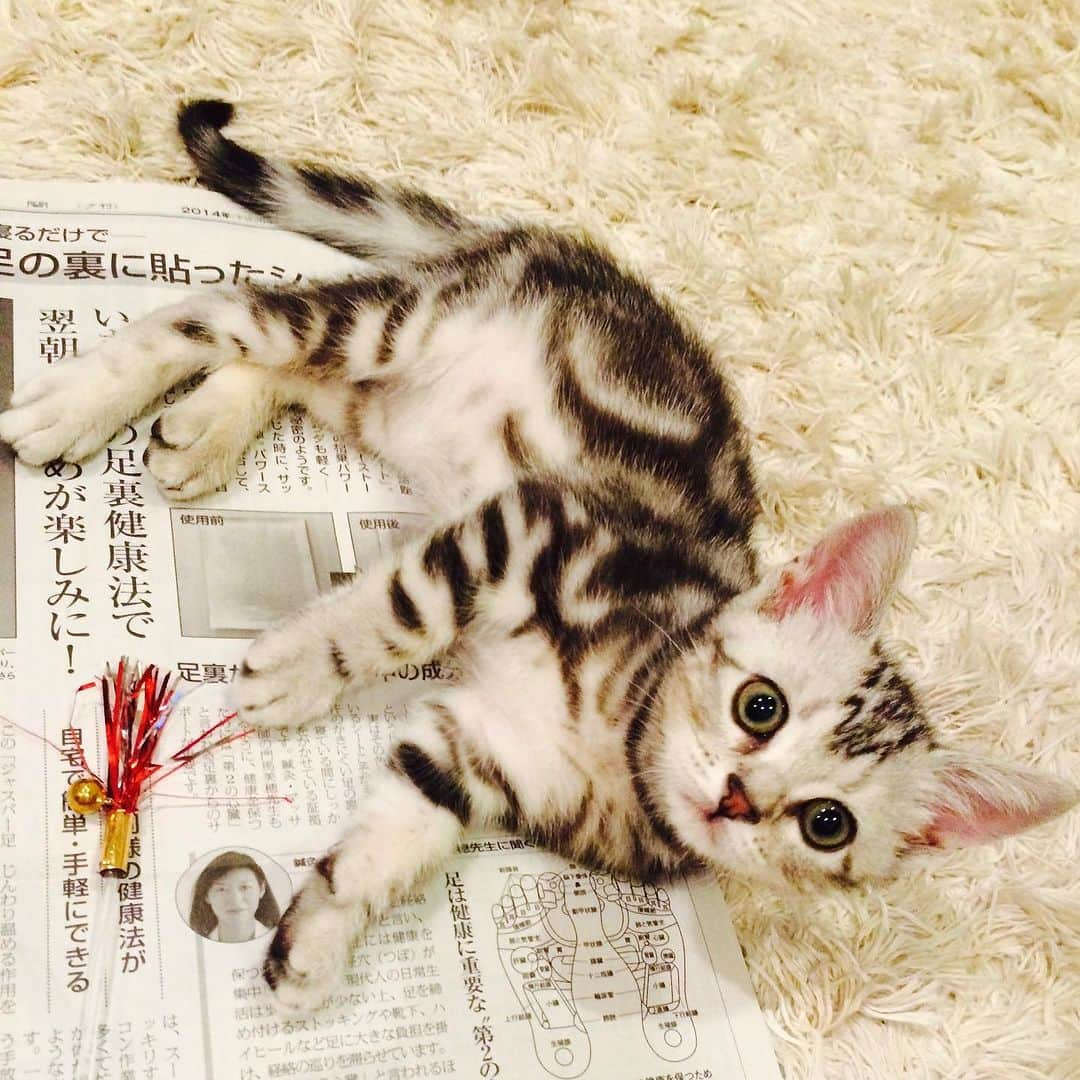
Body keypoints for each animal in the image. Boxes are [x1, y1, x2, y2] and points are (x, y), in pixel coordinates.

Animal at [0, 99, 1071, 1010]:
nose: (738, 797)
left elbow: (394, 837)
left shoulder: (477, 758)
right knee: (228, 309)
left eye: (826, 824)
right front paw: (300, 669)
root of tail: (542, 242)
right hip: (400, 328)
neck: (619, 740)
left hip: (384, 399)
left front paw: (317, 940)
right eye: (758, 706)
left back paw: (207, 428)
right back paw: (76, 402)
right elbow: (397, 615)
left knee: (282, 365)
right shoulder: (526, 524)